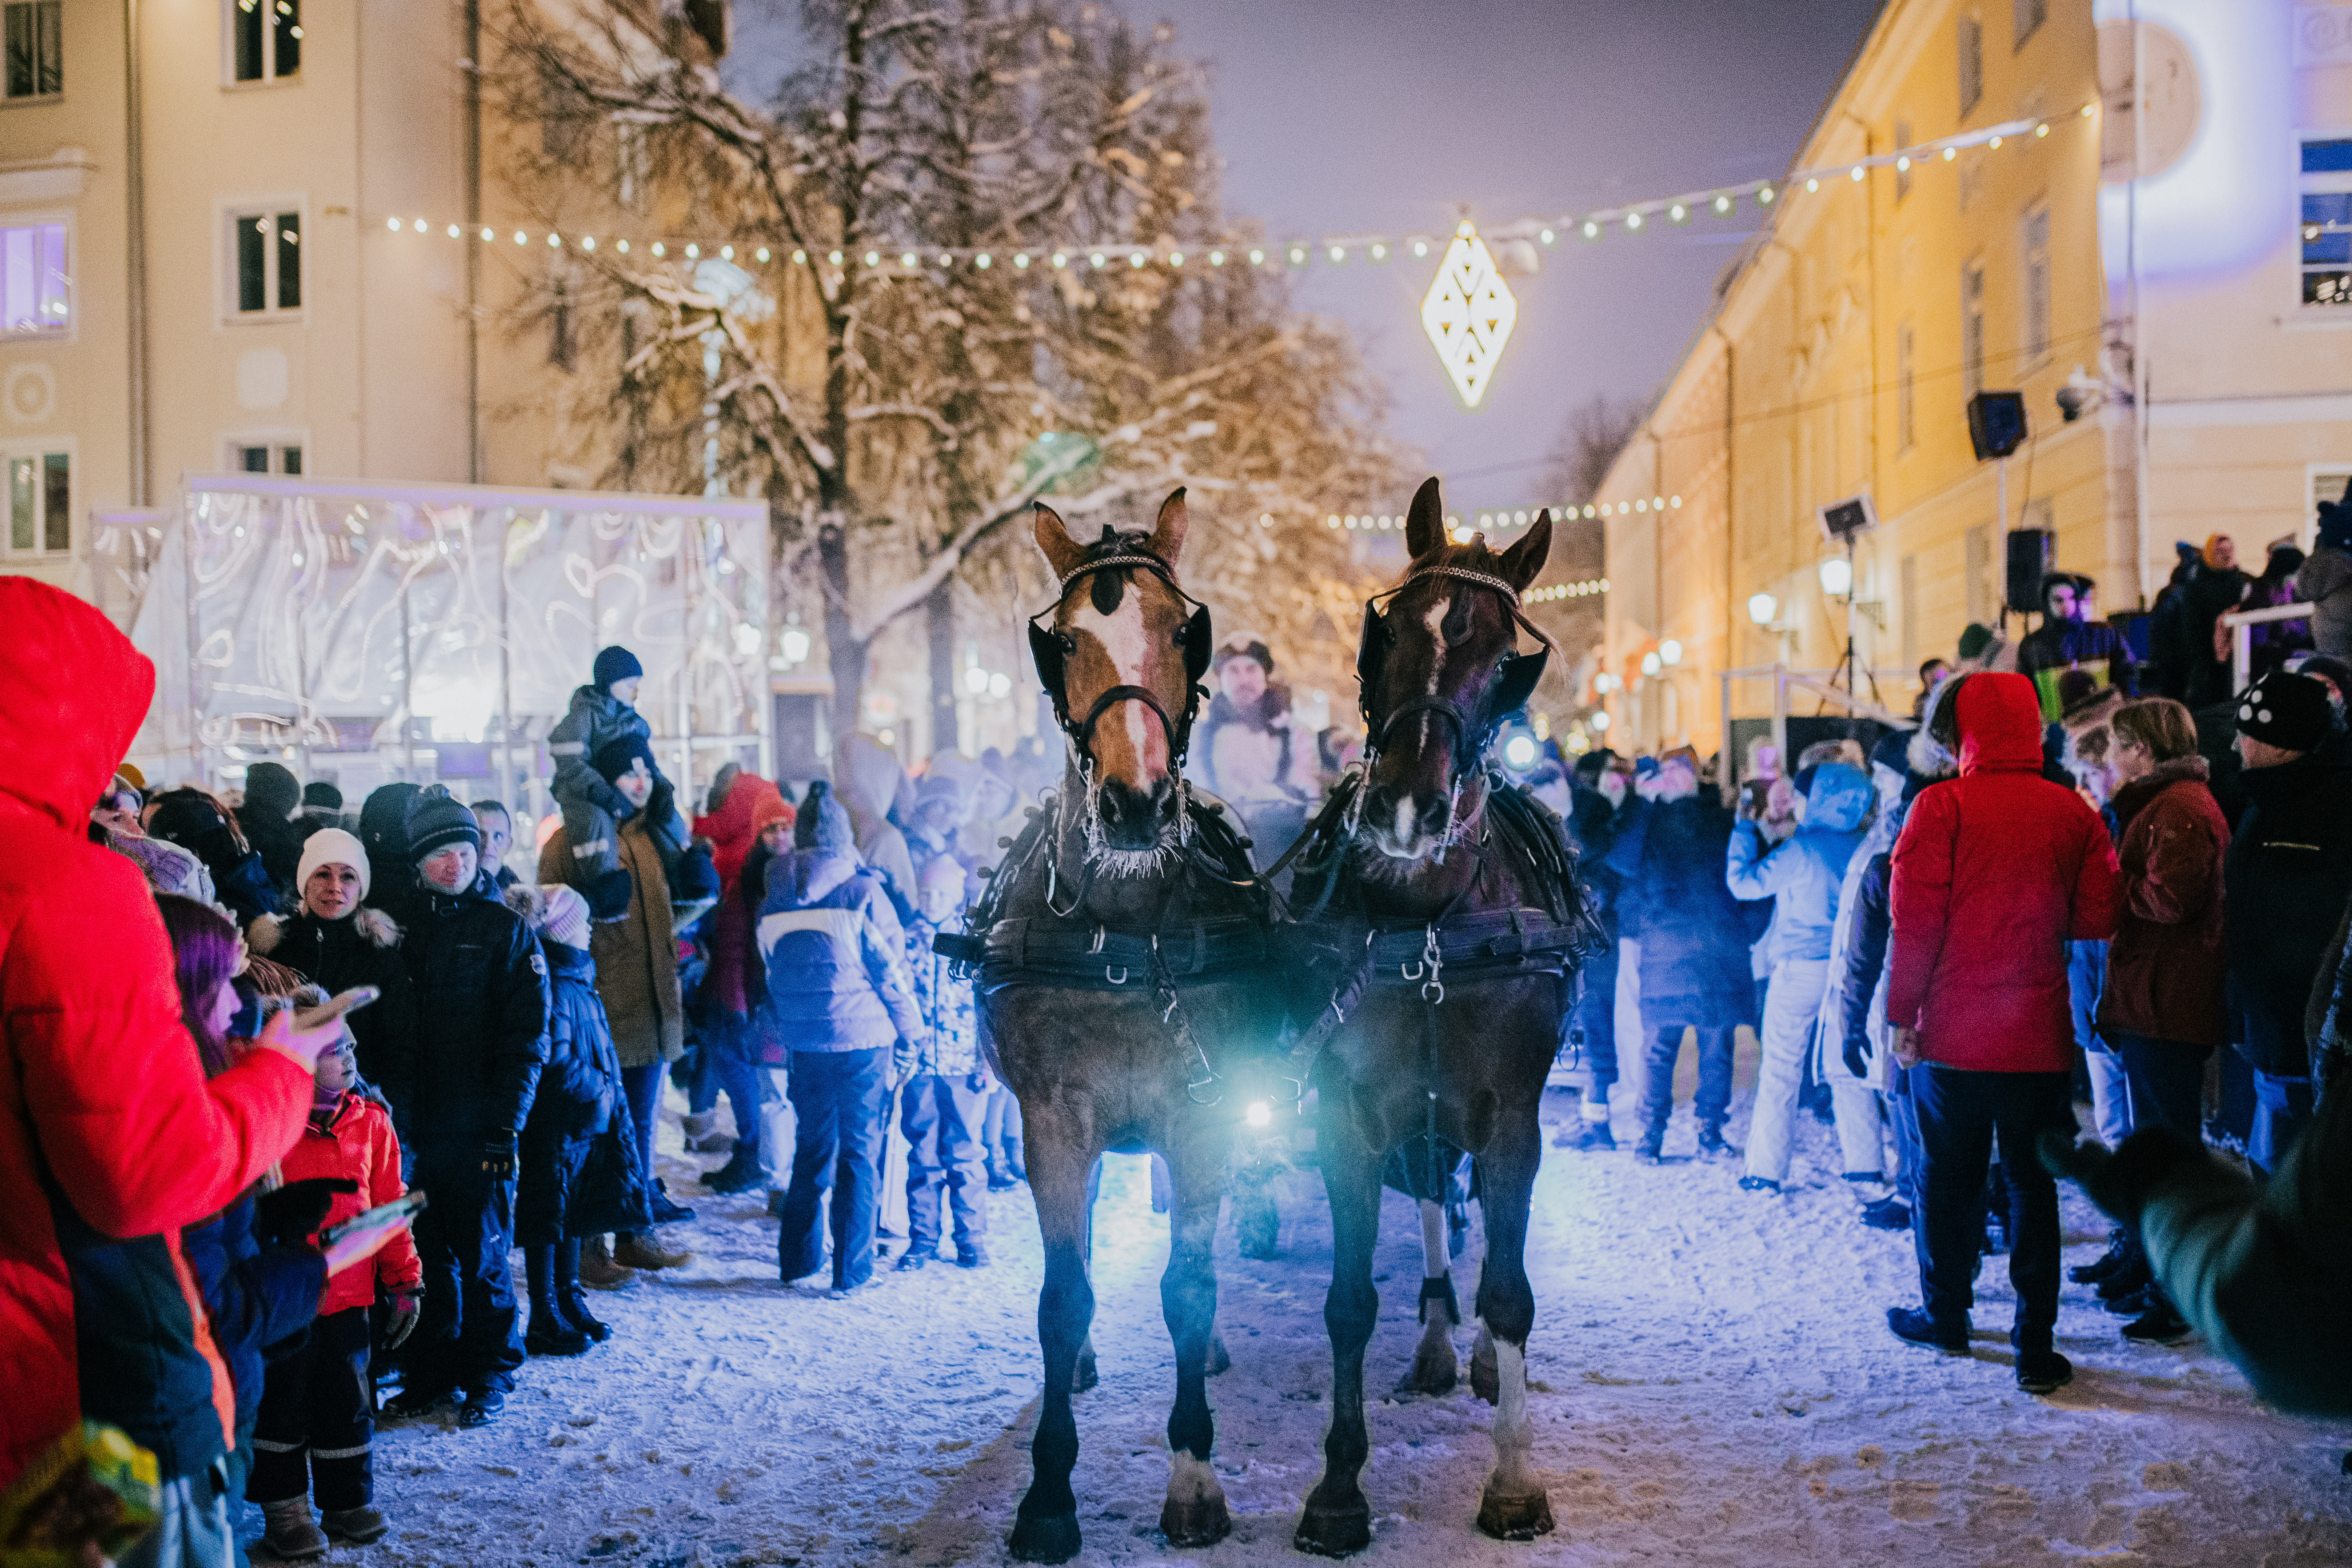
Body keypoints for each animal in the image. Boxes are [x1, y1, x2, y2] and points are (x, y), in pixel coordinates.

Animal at [959, 494, 1289, 1568]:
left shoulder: (1204, 1110)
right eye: (1062, 642)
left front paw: (1192, 1480)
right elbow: (1062, 1298)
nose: (1135, 803)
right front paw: (1047, 1496)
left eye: (1182, 630)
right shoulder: (1052, 1120)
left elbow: (1188, 1285)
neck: (1126, 925)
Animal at [1279, 479, 1590, 1561]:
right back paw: (1433, 1339)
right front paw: (1338, 1488)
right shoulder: (1351, 1110)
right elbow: (1347, 1302)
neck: (1427, 923)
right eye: (1387, 632)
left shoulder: (1511, 1115)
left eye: (1504, 661)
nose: (1407, 808)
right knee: (1426, 1197)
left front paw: (1515, 1480)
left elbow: (1511, 1288)